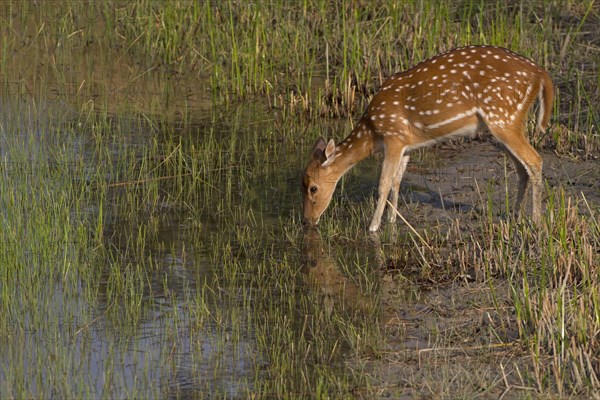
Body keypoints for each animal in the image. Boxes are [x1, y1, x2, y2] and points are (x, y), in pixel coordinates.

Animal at [302, 45, 556, 231]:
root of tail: (541, 74)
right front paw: (392, 221)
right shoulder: (406, 145)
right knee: (522, 167)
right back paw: (515, 215)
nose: (308, 220)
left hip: (503, 117)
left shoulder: (394, 136)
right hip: (506, 123)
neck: (373, 133)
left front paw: (373, 228)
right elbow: (397, 182)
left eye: (313, 188)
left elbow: (383, 183)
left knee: (535, 160)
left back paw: (536, 221)